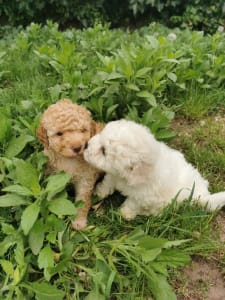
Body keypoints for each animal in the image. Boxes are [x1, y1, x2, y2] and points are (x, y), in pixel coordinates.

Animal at [37, 98, 103, 230]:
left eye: (82, 130)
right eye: (59, 134)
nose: (77, 147)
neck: (69, 159)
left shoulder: (85, 179)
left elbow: (83, 201)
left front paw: (79, 221)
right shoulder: (53, 175)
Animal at [84, 118, 225, 219]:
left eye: (104, 151)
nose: (86, 145)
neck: (126, 178)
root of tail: (203, 195)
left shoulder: (143, 197)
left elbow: (132, 204)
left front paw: (124, 214)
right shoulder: (113, 175)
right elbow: (107, 184)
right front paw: (99, 192)